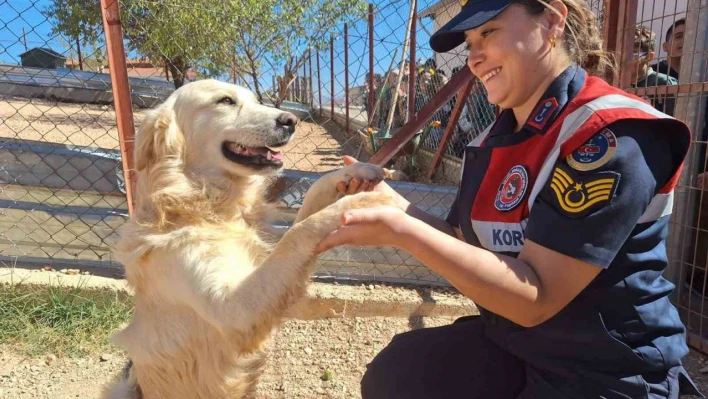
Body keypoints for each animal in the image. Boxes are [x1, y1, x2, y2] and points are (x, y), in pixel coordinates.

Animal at [102, 79, 396, 398]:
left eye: (255, 100)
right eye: (225, 101)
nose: (291, 120)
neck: (209, 205)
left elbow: (310, 203)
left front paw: (354, 173)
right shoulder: (233, 310)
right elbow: (299, 232)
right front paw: (359, 202)